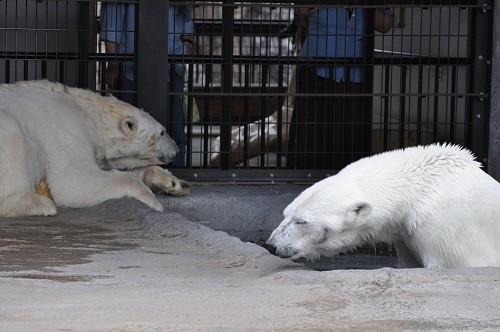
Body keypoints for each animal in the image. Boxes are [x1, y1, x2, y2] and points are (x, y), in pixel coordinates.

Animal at [0, 79, 190, 217]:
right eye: (162, 132)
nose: (177, 151)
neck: (89, 115)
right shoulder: (64, 130)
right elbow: (74, 180)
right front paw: (154, 202)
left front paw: (176, 183)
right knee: (12, 132)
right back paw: (41, 204)